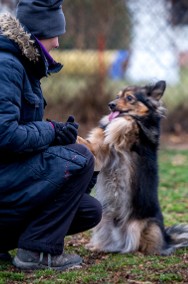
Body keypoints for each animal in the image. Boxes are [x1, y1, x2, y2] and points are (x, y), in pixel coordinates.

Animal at [76, 80, 188, 255]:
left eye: (129, 98)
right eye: (117, 96)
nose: (110, 105)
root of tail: (167, 238)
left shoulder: (137, 139)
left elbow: (130, 123)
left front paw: (116, 126)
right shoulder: (102, 154)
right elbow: (94, 144)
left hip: (147, 227)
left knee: (144, 245)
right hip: (104, 222)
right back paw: (99, 247)